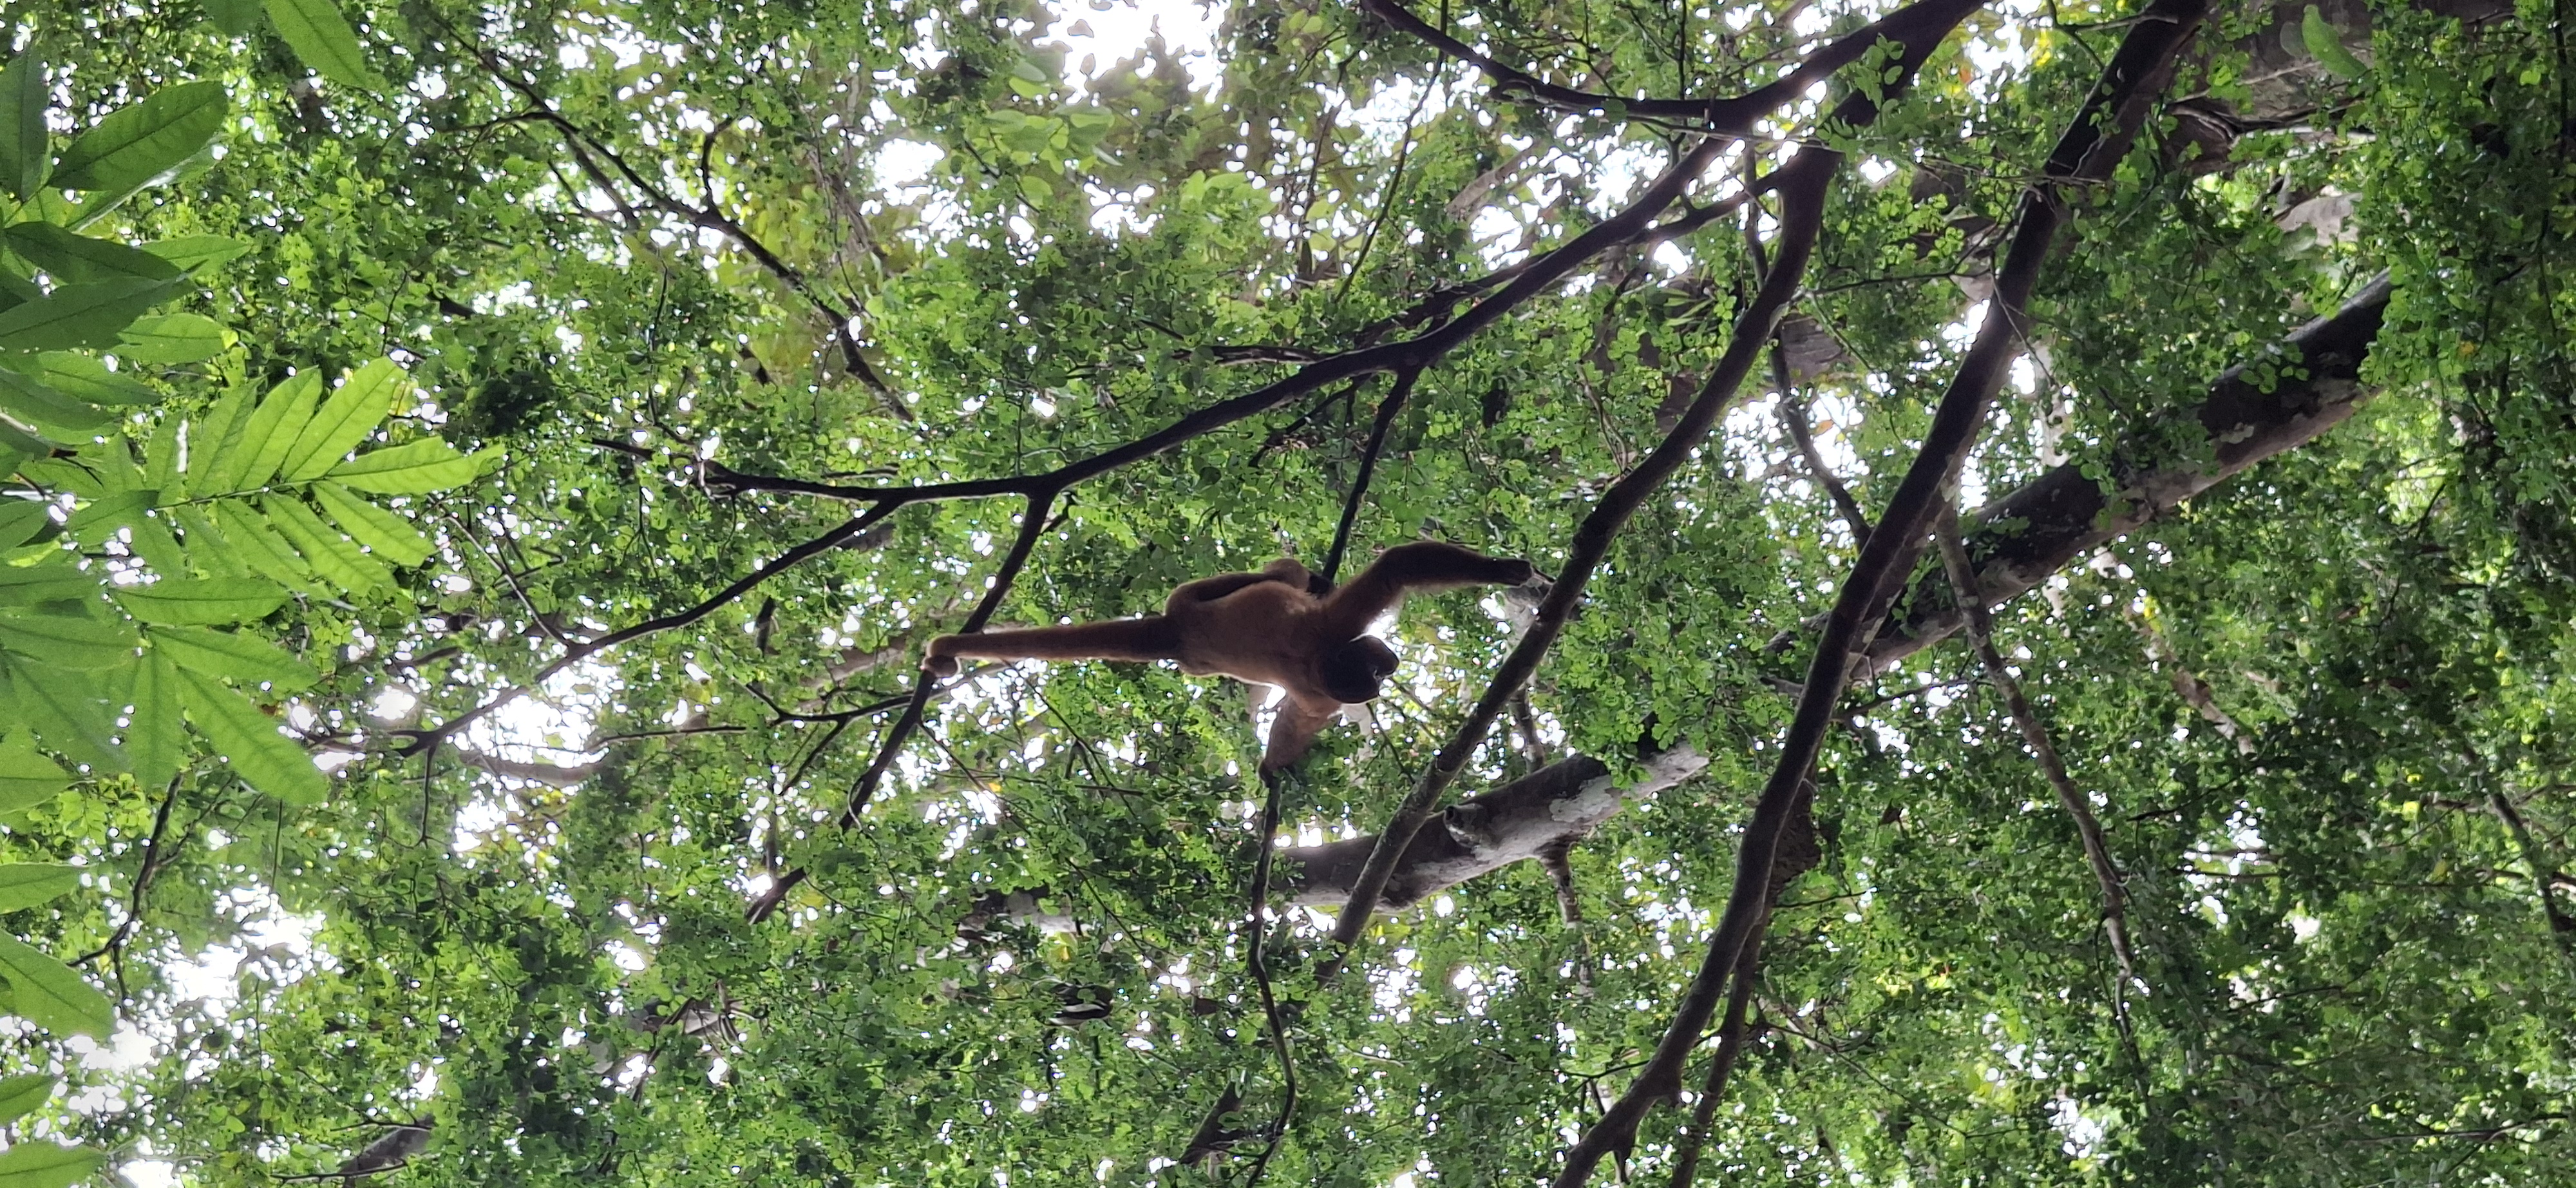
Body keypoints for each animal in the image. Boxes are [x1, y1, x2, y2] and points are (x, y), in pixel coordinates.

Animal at [924, 541, 1541, 771]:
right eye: (1372, 671)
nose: (1386, 670)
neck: (1319, 663)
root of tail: (1173, 632)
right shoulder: (1329, 638)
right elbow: (1397, 567)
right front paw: (1503, 570)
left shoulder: (1316, 689)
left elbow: (1292, 725)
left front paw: (1273, 772)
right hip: (1192, 595)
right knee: (1282, 573)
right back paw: (1303, 575)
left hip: (1190, 618)